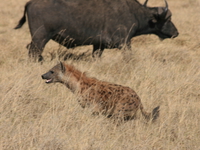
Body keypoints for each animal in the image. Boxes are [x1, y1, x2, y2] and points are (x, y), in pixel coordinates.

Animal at [14, 0, 179, 61]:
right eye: (168, 19)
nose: (176, 33)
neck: (134, 13)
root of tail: (30, 2)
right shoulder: (125, 43)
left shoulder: (98, 46)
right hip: (40, 39)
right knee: (33, 52)